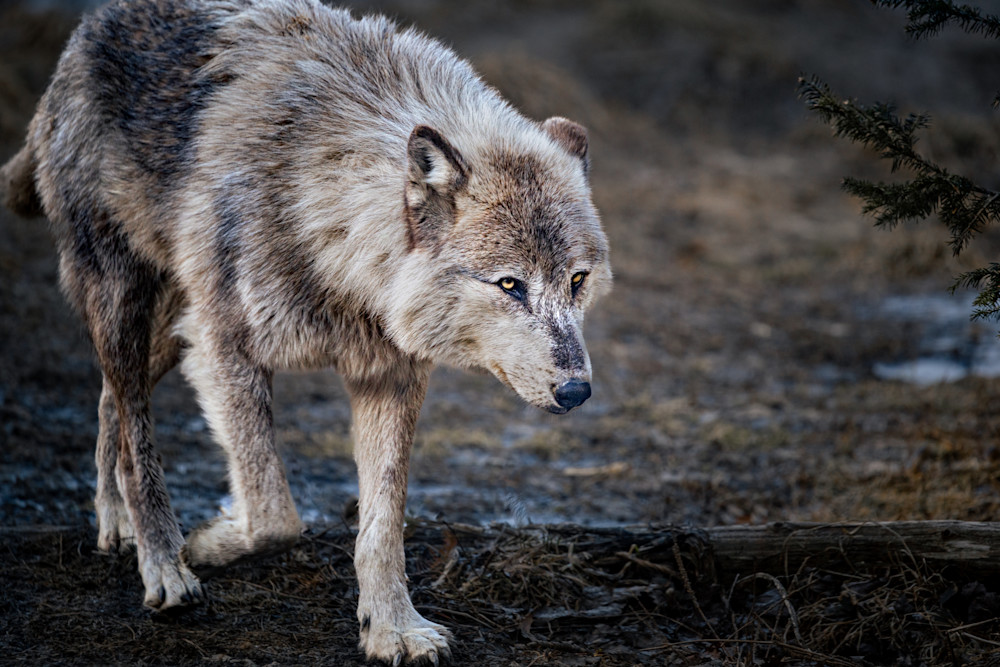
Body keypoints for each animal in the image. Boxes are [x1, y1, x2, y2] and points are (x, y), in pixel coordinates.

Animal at [1, 0, 611, 662]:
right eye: (509, 285)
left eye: (577, 280)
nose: (576, 391)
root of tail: (90, 26)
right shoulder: (224, 350)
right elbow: (275, 516)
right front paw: (208, 542)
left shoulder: (389, 377)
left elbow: (382, 526)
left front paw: (392, 629)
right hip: (128, 300)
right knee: (135, 427)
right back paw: (163, 564)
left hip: (171, 327)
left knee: (110, 398)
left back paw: (114, 523)